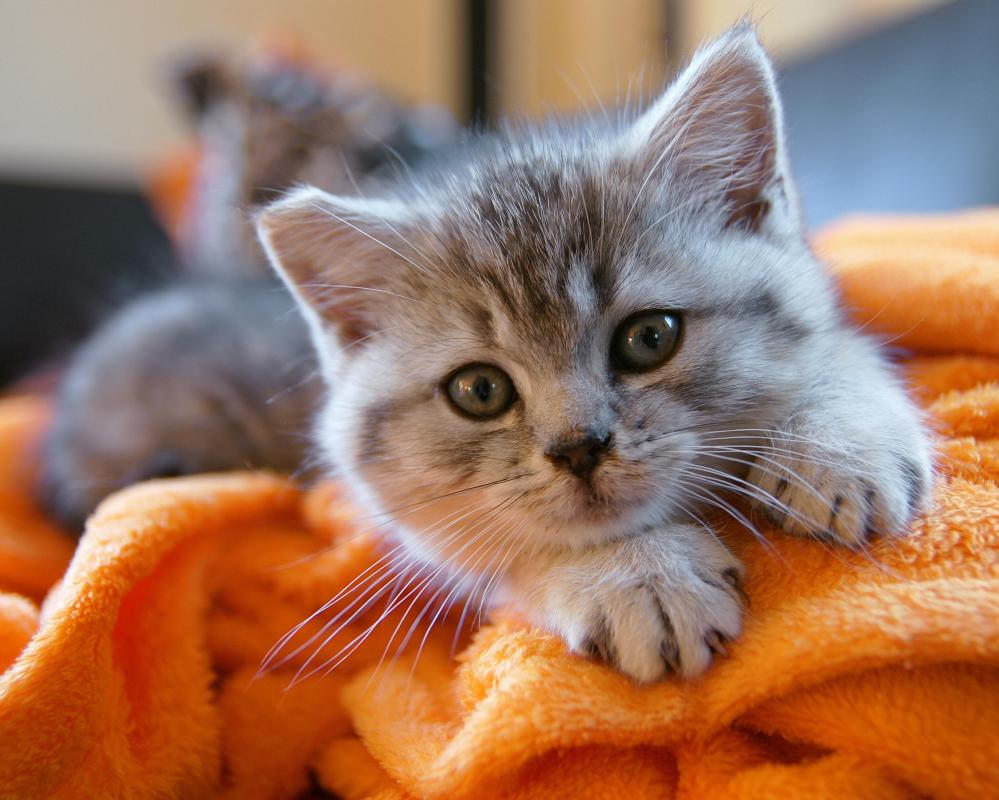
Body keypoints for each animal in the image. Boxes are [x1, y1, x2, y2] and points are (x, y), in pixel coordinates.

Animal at [256, 28, 928, 684]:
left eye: (650, 337)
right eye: (479, 390)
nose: (579, 448)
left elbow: (838, 345)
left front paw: (837, 448)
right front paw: (638, 573)